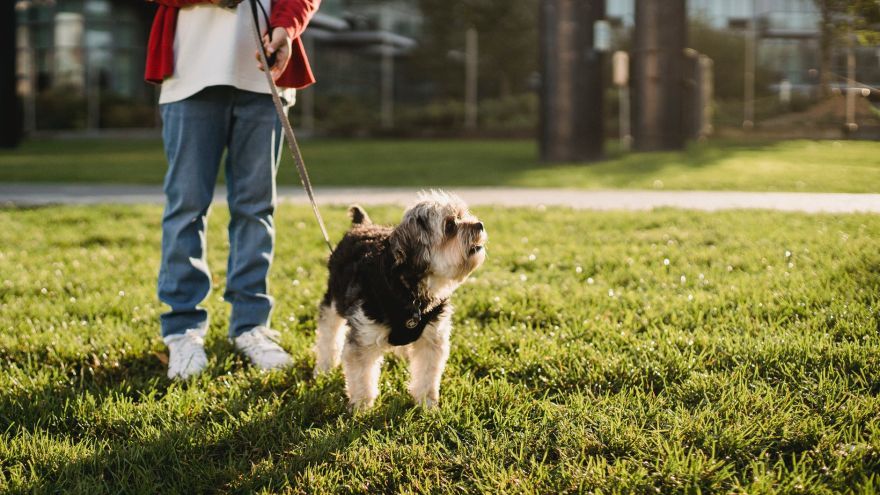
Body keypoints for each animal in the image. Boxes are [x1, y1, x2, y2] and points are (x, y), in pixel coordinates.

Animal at [312, 191, 488, 410]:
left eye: (463, 215)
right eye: (449, 226)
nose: (479, 224)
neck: (410, 291)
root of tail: (362, 225)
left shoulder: (432, 337)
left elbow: (427, 375)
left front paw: (427, 405)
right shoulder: (364, 335)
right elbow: (361, 377)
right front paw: (361, 407)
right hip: (334, 298)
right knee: (328, 332)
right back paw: (324, 367)